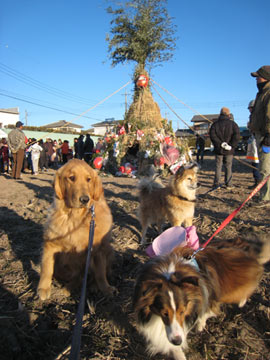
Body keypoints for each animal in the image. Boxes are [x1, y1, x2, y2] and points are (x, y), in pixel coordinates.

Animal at [37, 159, 115, 300]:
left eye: (89, 179)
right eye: (71, 178)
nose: (85, 199)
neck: (76, 217)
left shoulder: (99, 250)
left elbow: (100, 273)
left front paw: (106, 289)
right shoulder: (50, 244)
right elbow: (46, 269)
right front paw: (43, 289)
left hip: (108, 250)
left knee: (91, 275)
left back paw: (91, 287)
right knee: (78, 276)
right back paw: (67, 288)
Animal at [133, 232, 270, 358]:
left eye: (182, 311)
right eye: (164, 313)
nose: (177, 341)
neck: (170, 273)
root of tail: (247, 245)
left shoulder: (206, 297)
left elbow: (206, 312)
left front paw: (199, 325)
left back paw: (242, 302)